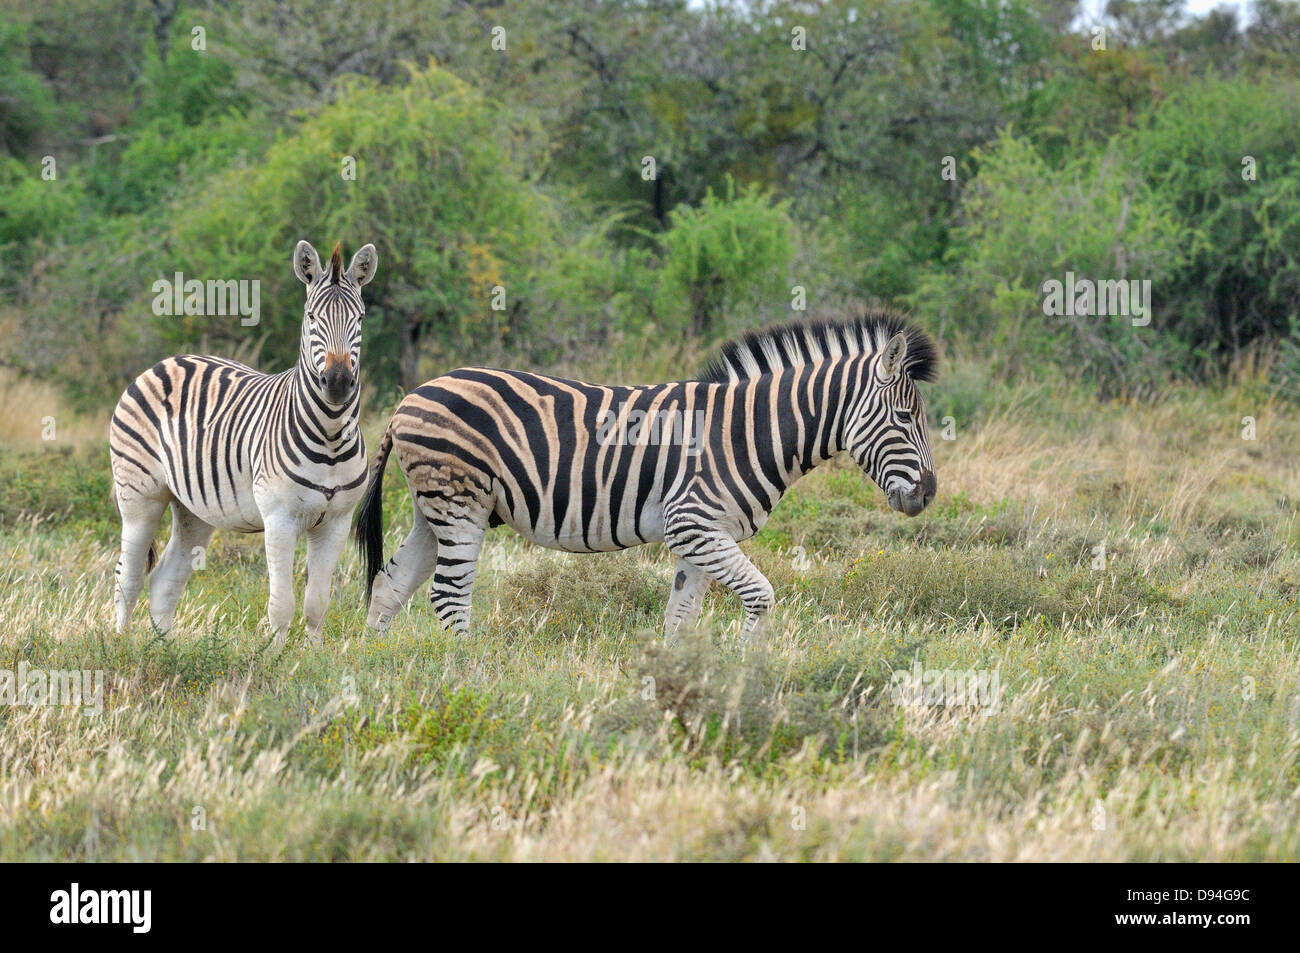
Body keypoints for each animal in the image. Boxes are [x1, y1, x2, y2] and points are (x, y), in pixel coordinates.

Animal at [110, 240, 378, 646]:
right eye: (312, 318)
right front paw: (277, 656)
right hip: (139, 495)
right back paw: (120, 648)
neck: (330, 437)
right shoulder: (279, 518)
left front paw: (315, 656)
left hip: (194, 509)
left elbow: (317, 604)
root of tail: (168, 360)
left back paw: (165, 650)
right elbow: (282, 605)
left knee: (164, 580)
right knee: (128, 577)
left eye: (360, 319)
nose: (336, 382)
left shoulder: (336, 521)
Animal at [355, 309, 937, 641]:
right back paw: (467, 674)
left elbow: (680, 617)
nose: (929, 495)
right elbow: (762, 595)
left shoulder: (702, 536)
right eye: (905, 418)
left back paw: (382, 673)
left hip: (433, 508)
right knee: (448, 594)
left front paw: (679, 686)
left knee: (389, 585)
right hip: (459, 503)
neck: (748, 431)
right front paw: (748, 672)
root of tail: (409, 398)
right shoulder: (693, 522)